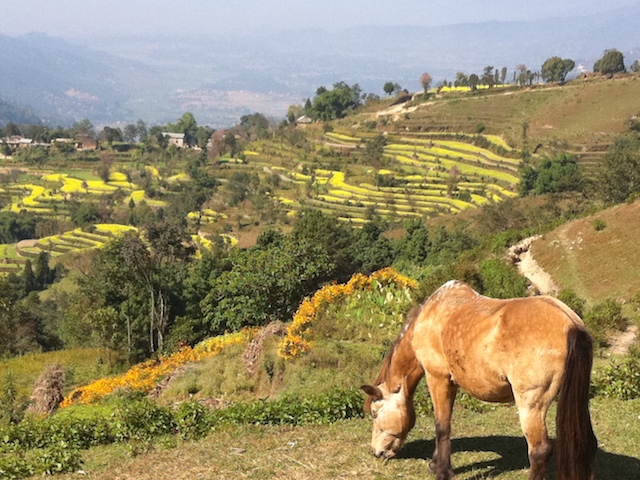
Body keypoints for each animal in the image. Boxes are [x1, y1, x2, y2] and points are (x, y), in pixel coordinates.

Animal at [362, 280, 596, 478]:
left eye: (374, 414)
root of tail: (571, 324)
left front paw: (442, 470)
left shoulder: (437, 378)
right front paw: (436, 464)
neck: (431, 317)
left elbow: (441, 425)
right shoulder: (452, 383)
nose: (375, 451)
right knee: (587, 442)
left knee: (539, 450)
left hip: (531, 404)